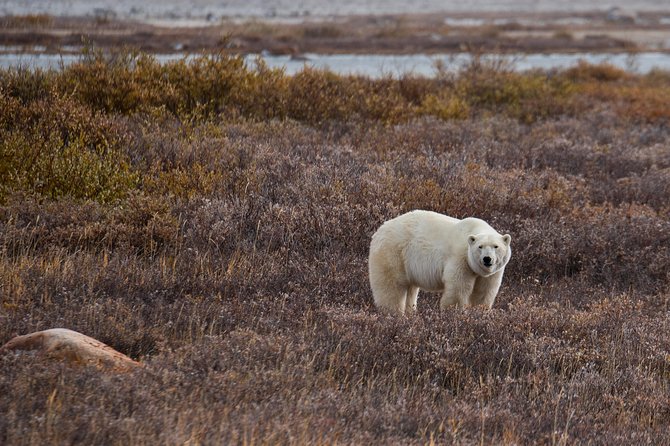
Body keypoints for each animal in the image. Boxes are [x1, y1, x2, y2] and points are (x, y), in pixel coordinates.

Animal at [368, 210, 511, 314]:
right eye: (480, 247)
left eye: (496, 246)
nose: (487, 259)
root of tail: (379, 231)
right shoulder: (460, 258)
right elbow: (458, 288)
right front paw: (452, 313)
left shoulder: (493, 273)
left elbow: (484, 291)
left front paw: (479, 313)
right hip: (393, 253)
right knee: (391, 287)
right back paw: (393, 314)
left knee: (411, 289)